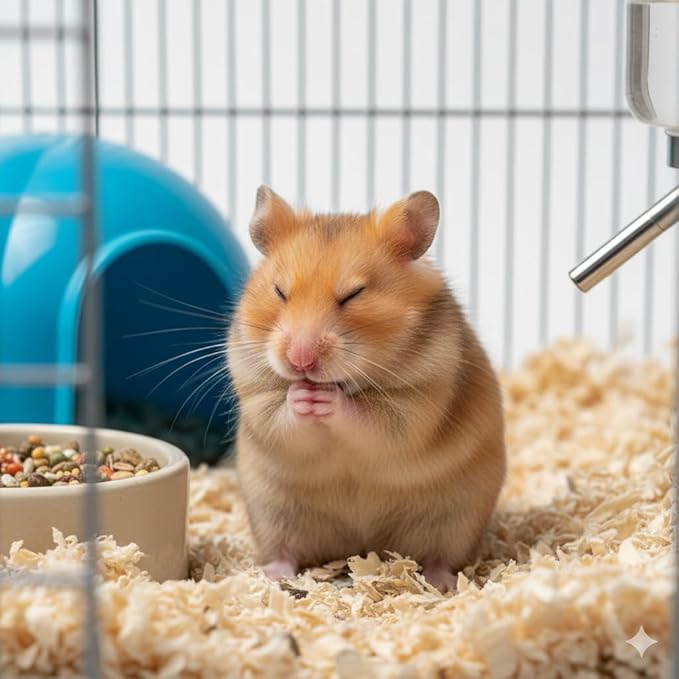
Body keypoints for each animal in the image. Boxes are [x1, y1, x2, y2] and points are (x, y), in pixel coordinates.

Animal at [227, 186, 506, 593]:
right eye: (279, 292)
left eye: (353, 294)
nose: (300, 360)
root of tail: (360, 545)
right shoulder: (256, 390)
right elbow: (279, 416)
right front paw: (302, 397)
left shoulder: (419, 399)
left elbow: (373, 419)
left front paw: (327, 399)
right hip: (272, 514)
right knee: (285, 551)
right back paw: (273, 574)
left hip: (456, 519)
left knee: (440, 556)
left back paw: (440, 582)